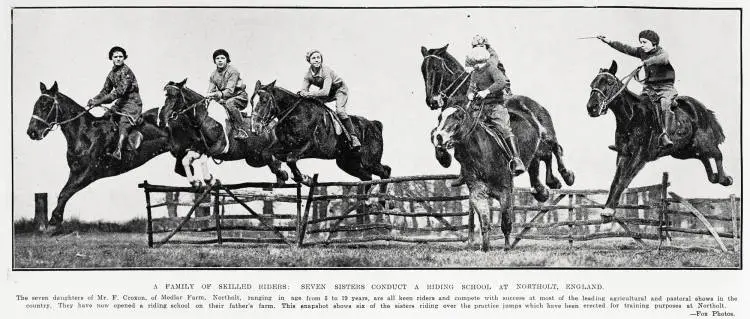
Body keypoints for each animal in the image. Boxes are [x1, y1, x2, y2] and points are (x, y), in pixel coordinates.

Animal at [160, 78, 290, 186]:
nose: (163, 117)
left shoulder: (219, 146)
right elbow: (186, 160)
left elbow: (203, 160)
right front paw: (195, 182)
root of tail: (272, 124)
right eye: (165, 95)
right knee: (272, 162)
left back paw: (284, 174)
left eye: (175, 95)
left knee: (274, 160)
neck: (205, 118)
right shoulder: (200, 148)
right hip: (254, 159)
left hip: (261, 155)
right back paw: (282, 176)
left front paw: (210, 180)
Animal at [253, 80, 394, 194]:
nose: (255, 128)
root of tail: (375, 125)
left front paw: (305, 179)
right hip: (347, 163)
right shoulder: (284, 145)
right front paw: (283, 175)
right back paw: (365, 203)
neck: (295, 115)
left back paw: (382, 200)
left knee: (385, 171)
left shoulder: (308, 146)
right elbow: (267, 154)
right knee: (367, 177)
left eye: (264, 101)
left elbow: (291, 159)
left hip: (369, 161)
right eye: (251, 101)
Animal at [424, 45, 576, 202]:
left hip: (547, 134)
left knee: (555, 148)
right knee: (544, 157)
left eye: (436, 68)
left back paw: (566, 176)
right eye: (423, 70)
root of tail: (535, 104)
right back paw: (550, 183)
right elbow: (434, 134)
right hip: (537, 146)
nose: (432, 101)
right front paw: (444, 158)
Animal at [432, 99, 544, 251]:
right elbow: (484, 221)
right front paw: (485, 247)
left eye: (458, 116)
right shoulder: (477, 193)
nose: (438, 137)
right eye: (440, 117)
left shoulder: (505, 192)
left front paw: (507, 247)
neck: (482, 154)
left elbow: (506, 223)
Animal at [588, 61, 736, 219]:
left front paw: (609, 210)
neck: (631, 116)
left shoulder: (639, 156)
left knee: (717, 154)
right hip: (683, 151)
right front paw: (608, 208)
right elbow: (616, 181)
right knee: (703, 158)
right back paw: (714, 177)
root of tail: (702, 109)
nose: (591, 108)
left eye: (609, 82)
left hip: (704, 143)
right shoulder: (623, 154)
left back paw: (725, 179)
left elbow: (624, 179)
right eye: (592, 84)